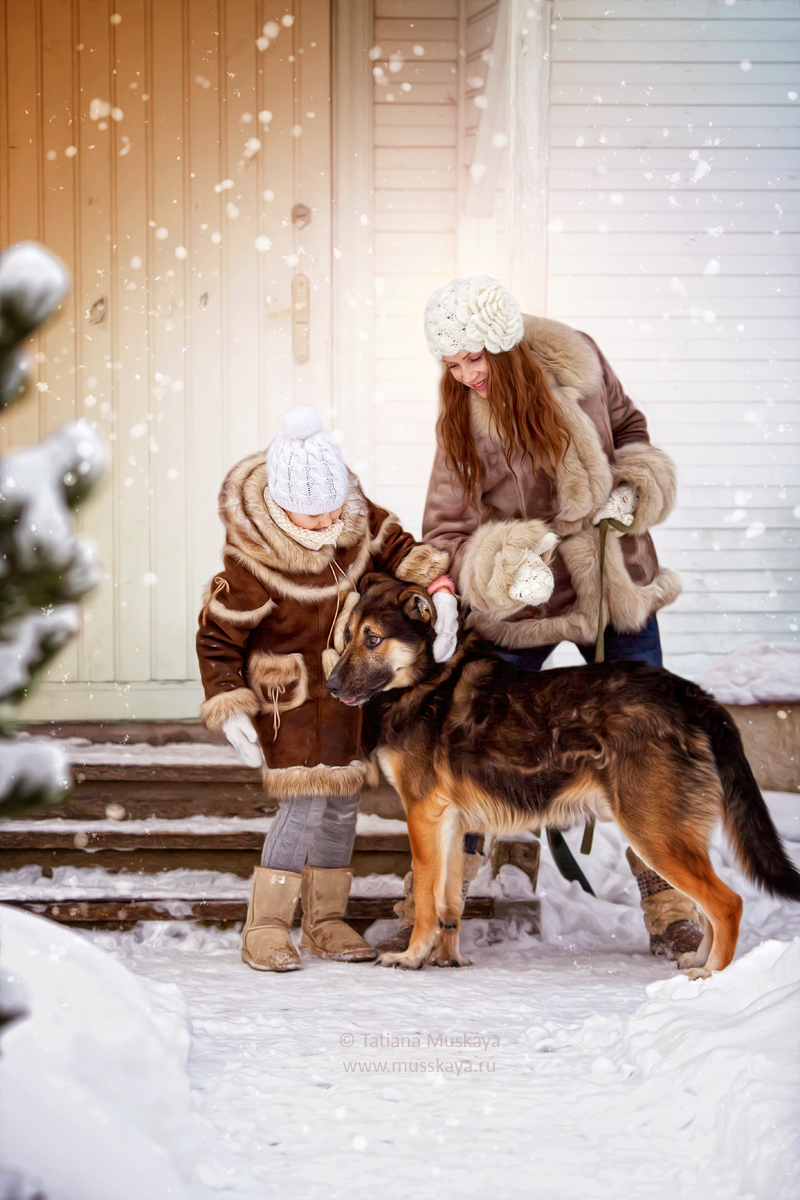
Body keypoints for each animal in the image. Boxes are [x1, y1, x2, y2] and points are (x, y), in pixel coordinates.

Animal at [326, 571, 800, 974]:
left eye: (373, 639)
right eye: (347, 637)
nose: (330, 686)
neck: (429, 679)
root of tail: (690, 693)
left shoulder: (424, 816)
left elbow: (426, 898)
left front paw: (411, 957)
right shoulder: (453, 824)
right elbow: (450, 904)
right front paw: (448, 958)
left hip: (653, 831)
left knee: (727, 904)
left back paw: (711, 975)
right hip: (669, 834)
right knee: (709, 906)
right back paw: (697, 961)